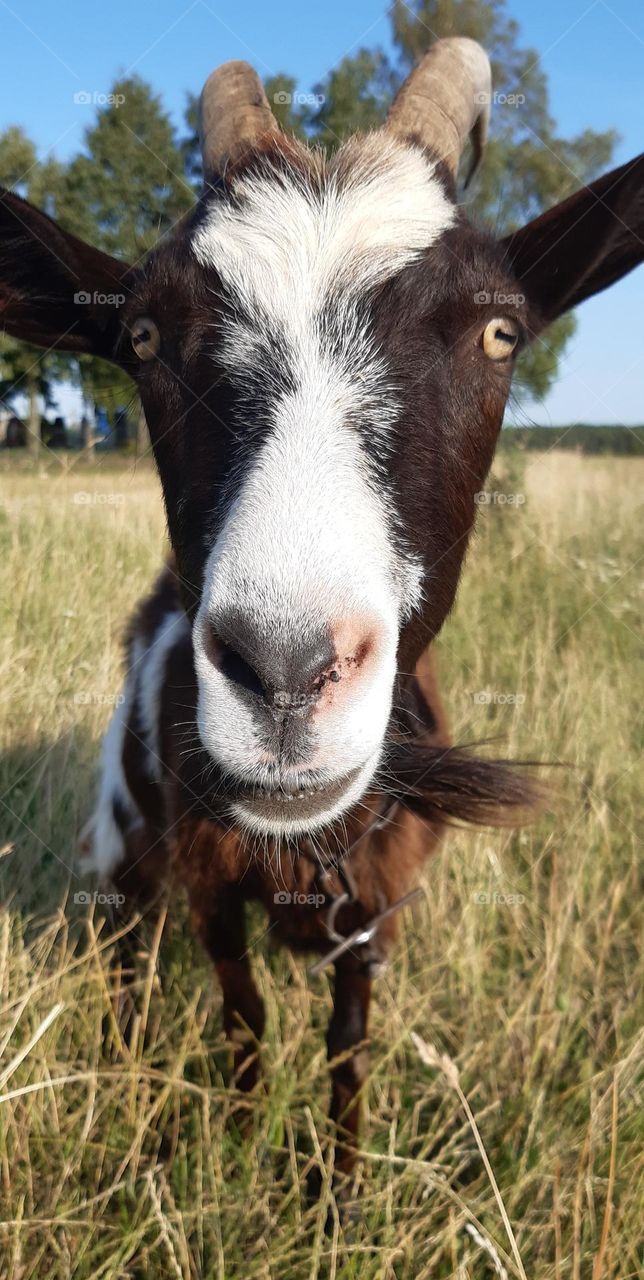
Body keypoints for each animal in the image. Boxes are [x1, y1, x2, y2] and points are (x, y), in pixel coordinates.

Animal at [0, 37, 642, 1177]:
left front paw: (333, 1184)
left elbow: (347, 1041)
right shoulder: (209, 885)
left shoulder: (374, 907)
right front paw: (241, 1151)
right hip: (123, 837)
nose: (287, 669)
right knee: (125, 944)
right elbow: (243, 1012)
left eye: (498, 331)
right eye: (145, 335)